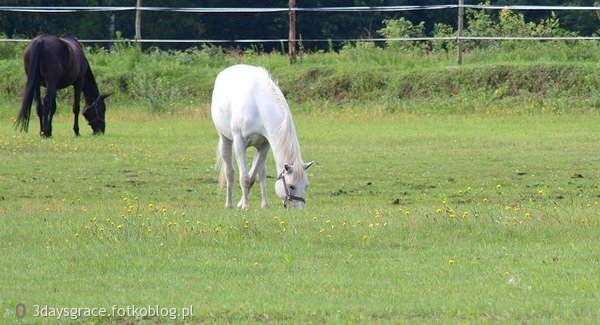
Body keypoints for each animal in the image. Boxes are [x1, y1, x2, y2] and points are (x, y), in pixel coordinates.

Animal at [211, 64, 314, 209]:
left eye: (305, 186)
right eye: (291, 186)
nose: (299, 209)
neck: (258, 106)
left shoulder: (265, 145)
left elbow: (256, 176)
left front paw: (260, 204)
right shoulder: (239, 143)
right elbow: (244, 178)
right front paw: (245, 206)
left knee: (259, 171)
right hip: (225, 139)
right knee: (229, 172)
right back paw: (229, 204)